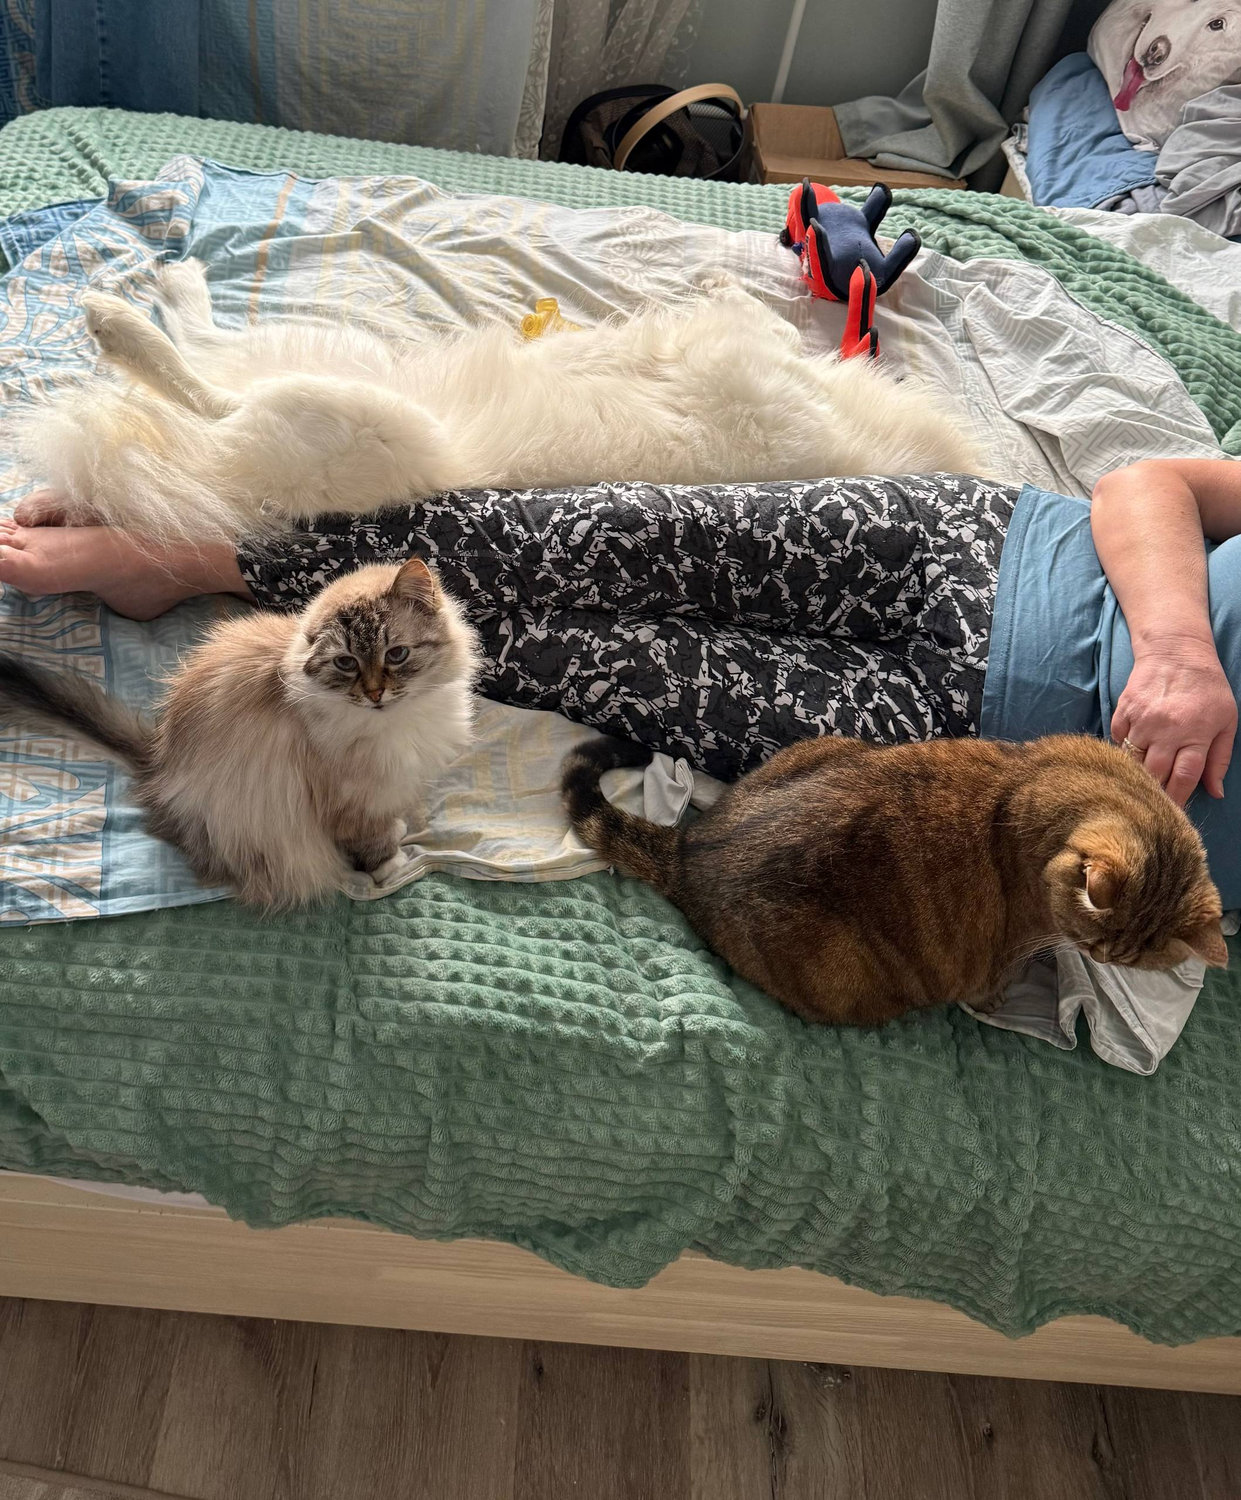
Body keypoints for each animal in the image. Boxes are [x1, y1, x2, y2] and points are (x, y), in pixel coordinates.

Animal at [0, 558, 477, 909]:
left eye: (396, 655)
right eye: (346, 664)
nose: (375, 693)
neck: (396, 720)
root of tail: (157, 762)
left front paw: (401, 830)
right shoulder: (352, 802)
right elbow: (374, 846)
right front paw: (391, 869)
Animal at [9, 260, 984, 545]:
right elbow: (754, 318)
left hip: (354, 408)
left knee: (210, 390)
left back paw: (116, 322)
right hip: (343, 360)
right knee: (210, 348)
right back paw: (171, 280)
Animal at [562, 733, 1228, 1026]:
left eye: (1127, 958)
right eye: (1097, 945)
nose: (1097, 956)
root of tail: (691, 848)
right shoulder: (1002, 950)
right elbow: (991, 982)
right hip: (839, 970)